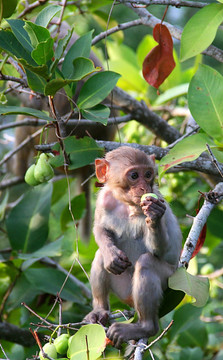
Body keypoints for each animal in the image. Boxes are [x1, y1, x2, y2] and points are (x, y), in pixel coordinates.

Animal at [84, 146, 182, 346]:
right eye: (134, 175)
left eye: (148, 174)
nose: (145, 187)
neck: (126, 203)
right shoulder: (104, 197)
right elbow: (100, 228)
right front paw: (111, 254)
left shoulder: (159, 200)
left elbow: (162, 251)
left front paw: (154, 215)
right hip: (122, 289)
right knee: (100, 256)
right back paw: (100, 310)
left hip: (170, 281)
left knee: (147, 262)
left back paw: (144, 327)